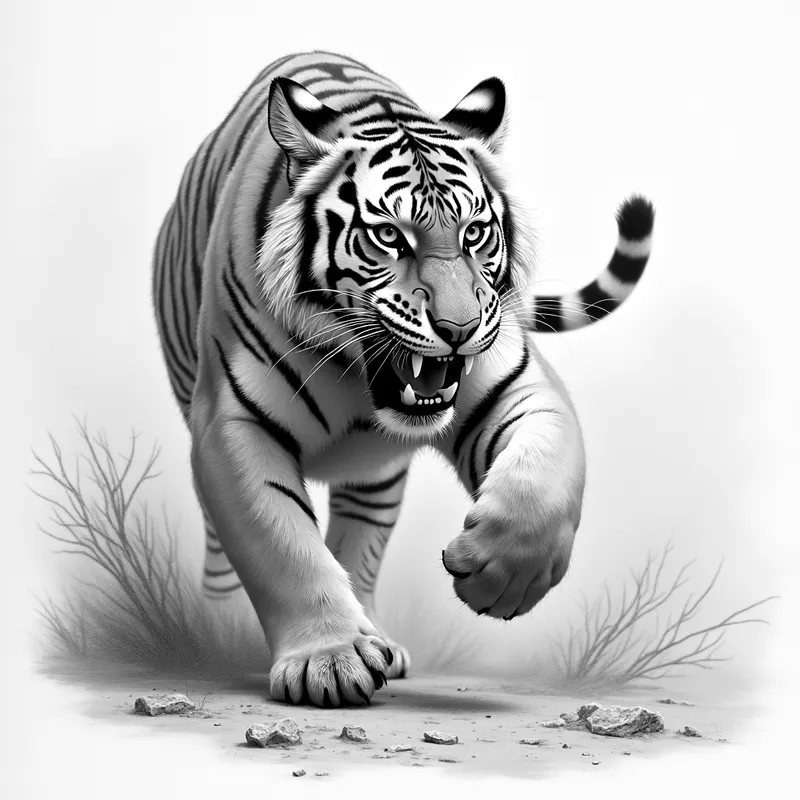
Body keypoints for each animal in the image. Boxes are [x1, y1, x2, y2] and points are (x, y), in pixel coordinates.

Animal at [151, 51, 654, 708]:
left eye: (474, 233)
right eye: (389, 236)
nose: (459, 328)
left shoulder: (516, 384)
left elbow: (542, 484)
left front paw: (500, 578)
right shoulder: (232, 422)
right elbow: (280, 542)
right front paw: (328, 661)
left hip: (376, 474)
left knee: (361, 541)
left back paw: (380, 639)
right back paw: (227, 631)